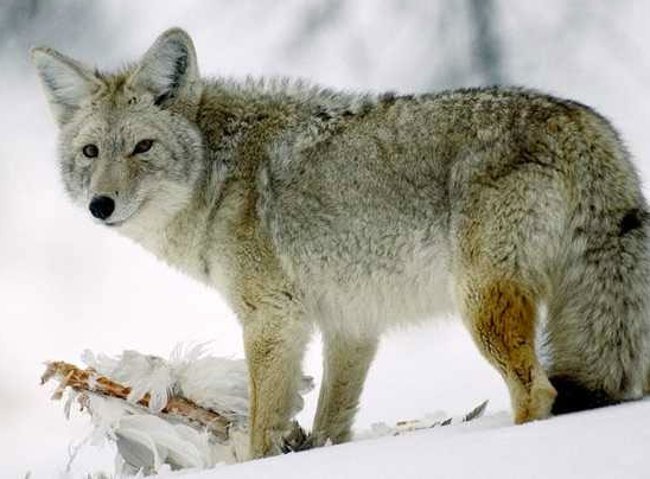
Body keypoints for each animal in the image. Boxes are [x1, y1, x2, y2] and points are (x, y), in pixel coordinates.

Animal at [32, 28, 650, 458]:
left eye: (141, 147)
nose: (101, 205)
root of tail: (582, 123)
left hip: (482, 307)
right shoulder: (351, 325)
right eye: (90, 152)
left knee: (537, 393)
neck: (219, 176)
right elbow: (331, 423)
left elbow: (263, 426)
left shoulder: (273, 319)